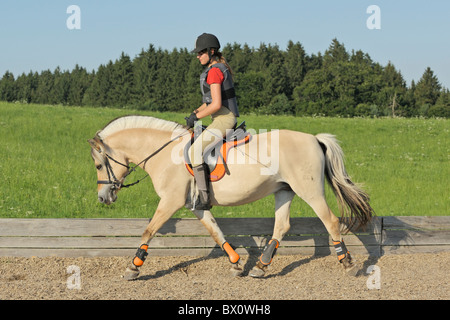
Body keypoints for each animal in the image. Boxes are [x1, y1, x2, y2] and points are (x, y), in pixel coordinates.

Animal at [87, 115, 372, 280]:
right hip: (284, 190)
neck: (165, 153)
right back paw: (261, 267)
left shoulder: (170, 201)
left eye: (99, 165)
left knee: (331, 221)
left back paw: (348, 264)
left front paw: (133, 267)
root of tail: (314, 139)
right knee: (282, 226)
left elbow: (148, 231)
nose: (102, 198)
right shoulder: (195, 206)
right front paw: (236, 265)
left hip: (309, 190)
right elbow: (216, 232)